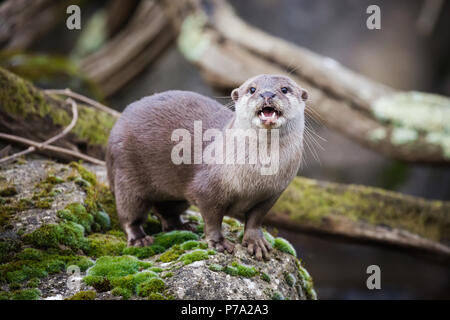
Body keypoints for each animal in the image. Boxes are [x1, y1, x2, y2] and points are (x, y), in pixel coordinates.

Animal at [107, 74, 308, 260]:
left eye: (284, 89)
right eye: (252, 89)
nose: (267, 94)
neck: (257, 176)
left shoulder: (272, 195)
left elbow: (255, 219)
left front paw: (256, 242)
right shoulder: (207, 189)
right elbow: (212, 219)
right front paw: (218, 243)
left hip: (174, 195)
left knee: (166, 211)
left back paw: (183, 226)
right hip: (126, 174)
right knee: (129, 213)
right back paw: (140, 239)